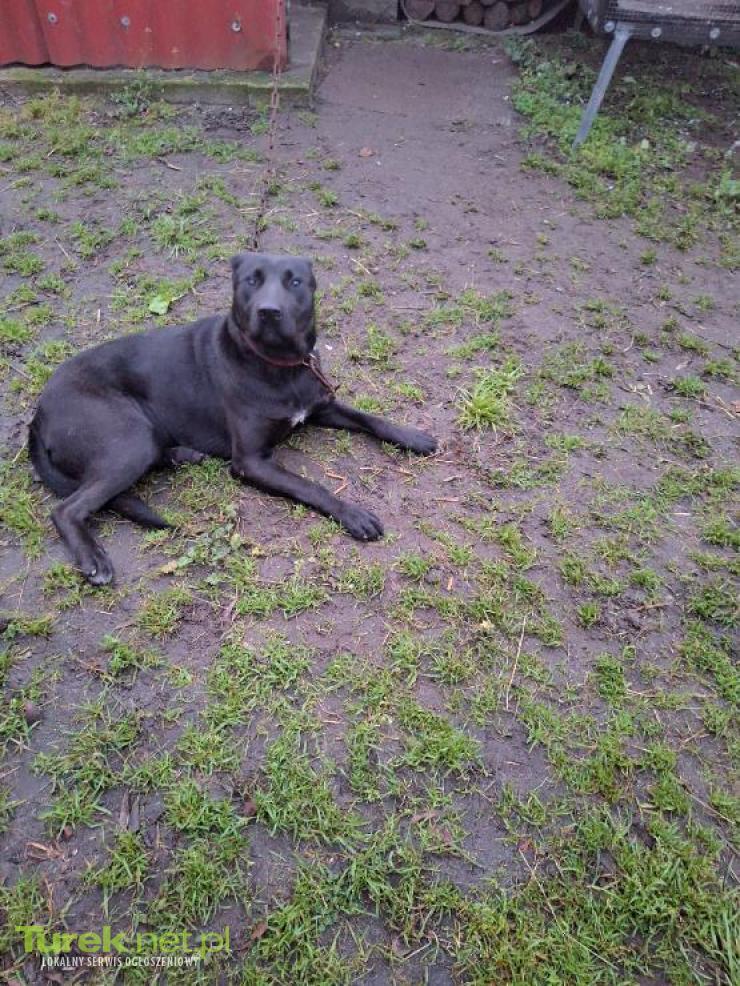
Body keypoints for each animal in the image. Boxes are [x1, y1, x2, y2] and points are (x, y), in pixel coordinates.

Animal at [28, 253, 437, 585]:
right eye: (250, 281)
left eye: (294, 281)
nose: (269, 311)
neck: (279, 366)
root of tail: (39, 411)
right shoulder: (252, 461)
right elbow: (311, 486)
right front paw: (352, 513)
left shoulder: (321, 405)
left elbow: (370, 419)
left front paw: (413, 436)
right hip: (128, 439)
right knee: (65, 509)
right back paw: (93, 559)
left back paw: (183, 455)